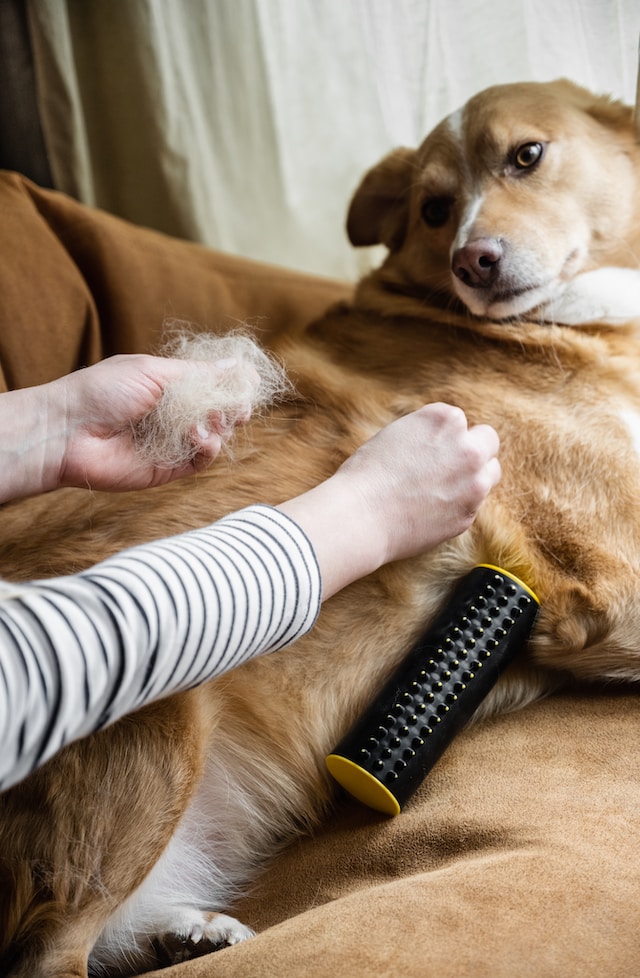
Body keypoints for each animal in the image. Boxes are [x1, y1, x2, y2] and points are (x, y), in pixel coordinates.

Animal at [3, 78, 640, 976]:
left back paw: (186, 932)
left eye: (528, 155)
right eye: (435, 209)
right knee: (47, 951)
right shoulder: (608, 572)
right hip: (152, 715)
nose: (472, 261)